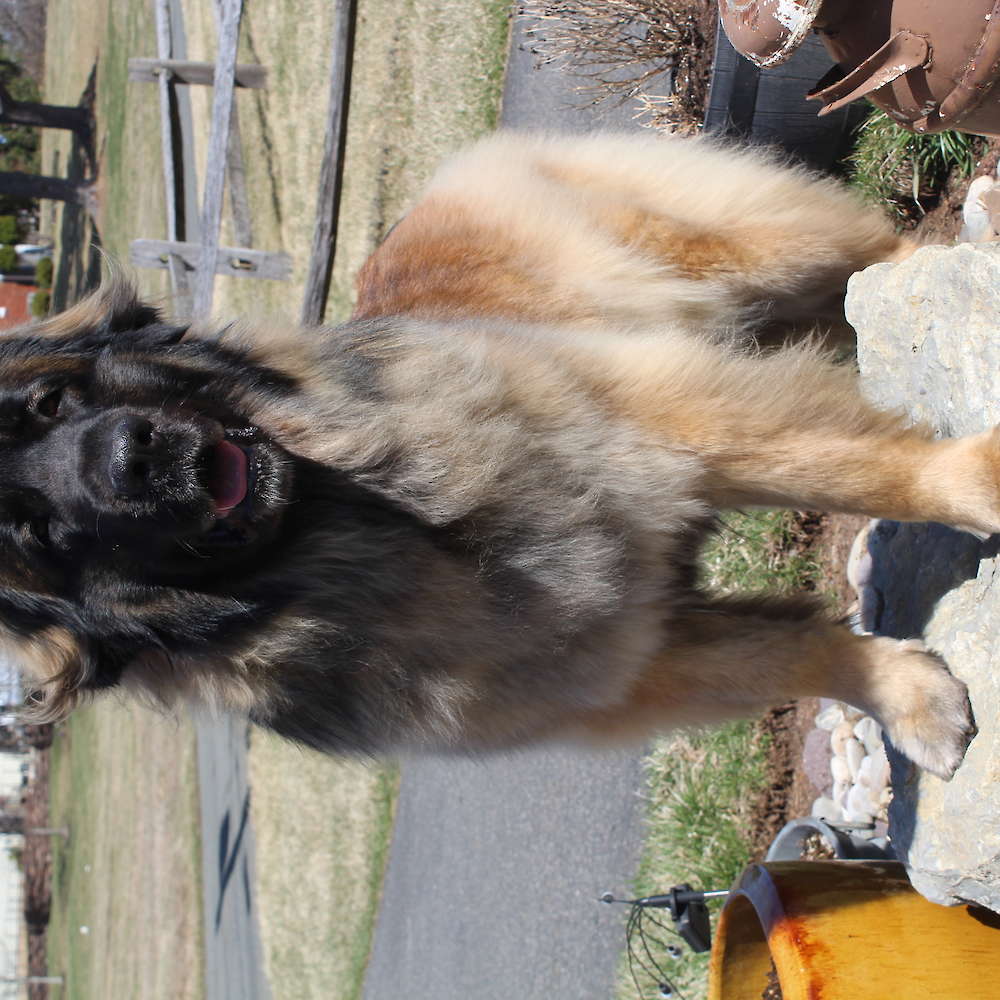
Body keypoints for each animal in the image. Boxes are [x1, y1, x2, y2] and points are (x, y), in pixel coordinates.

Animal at [4, 131, 985, 777]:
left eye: (55, 403)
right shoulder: (632, 660)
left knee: (877, 254)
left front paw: (977, 483)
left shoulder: (679, 423)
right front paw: (903, 695)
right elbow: (790, 653)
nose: (129, 459)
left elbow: (861, 468)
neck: (374, 532)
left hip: (748, 249)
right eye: (37, 532)